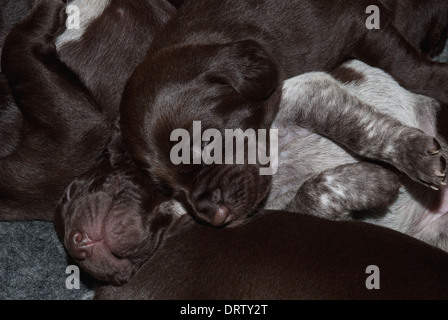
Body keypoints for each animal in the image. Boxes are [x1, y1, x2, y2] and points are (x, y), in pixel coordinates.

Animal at [121, 0, 448, 226]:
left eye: (205, 142)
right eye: (169, 189)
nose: (214, 217)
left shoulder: (340, 47)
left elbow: (368, 121)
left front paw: (413, 155)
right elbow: (313, 192)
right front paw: (372, 183)